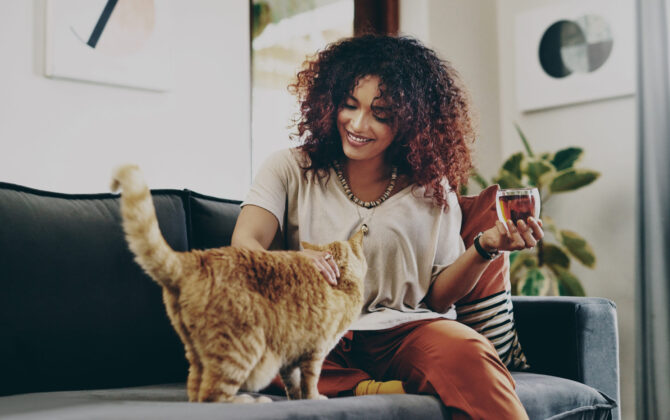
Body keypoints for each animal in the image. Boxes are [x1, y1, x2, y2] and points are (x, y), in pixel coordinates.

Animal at [113, 165, 370, 404]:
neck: (340, 284)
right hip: (243, 348)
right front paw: (314, 398)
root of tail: (195, 258)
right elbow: (310, 381)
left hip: (197, 353)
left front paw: (297, 398)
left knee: (196, 393)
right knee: (212, 396)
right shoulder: (314, 350)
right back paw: (251, 400)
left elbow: (293, 383)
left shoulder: (290, 353)